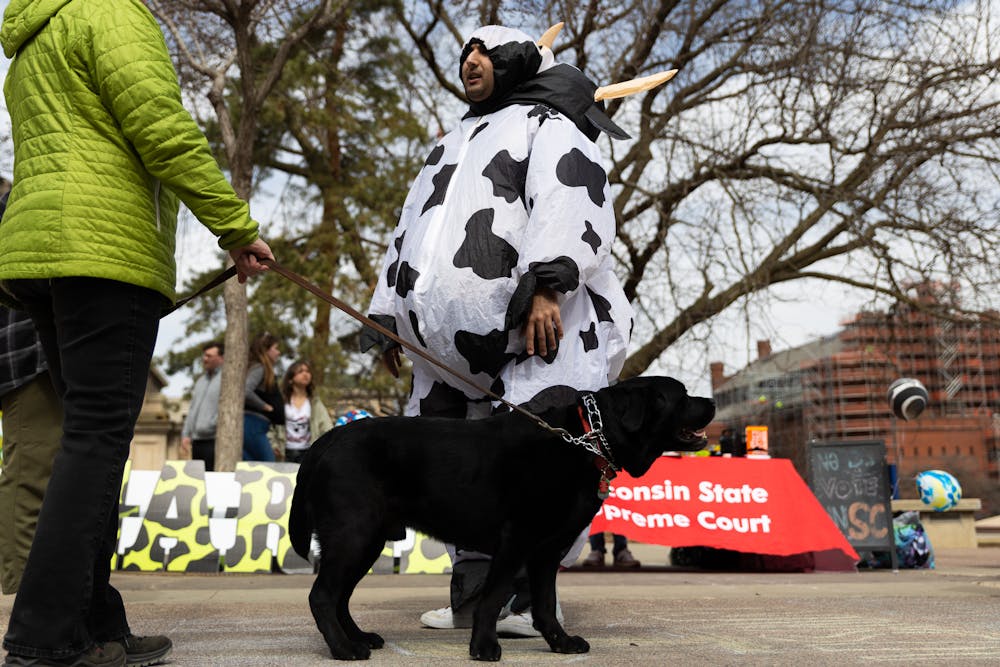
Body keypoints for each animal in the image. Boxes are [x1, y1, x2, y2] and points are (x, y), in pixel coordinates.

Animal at [289, 376, 715, 661]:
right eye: (682, 396)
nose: (710, 401)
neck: (586, 439)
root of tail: (326, 440)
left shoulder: (547, 550)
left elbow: (545, 603)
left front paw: (561, 643)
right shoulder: (517, 539)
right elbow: (492, 597)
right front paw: (483, 646)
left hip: (366, 539)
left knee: (340, 597)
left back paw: (359, 637)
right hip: (354, 533)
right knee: (322, 596)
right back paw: (344, 648)